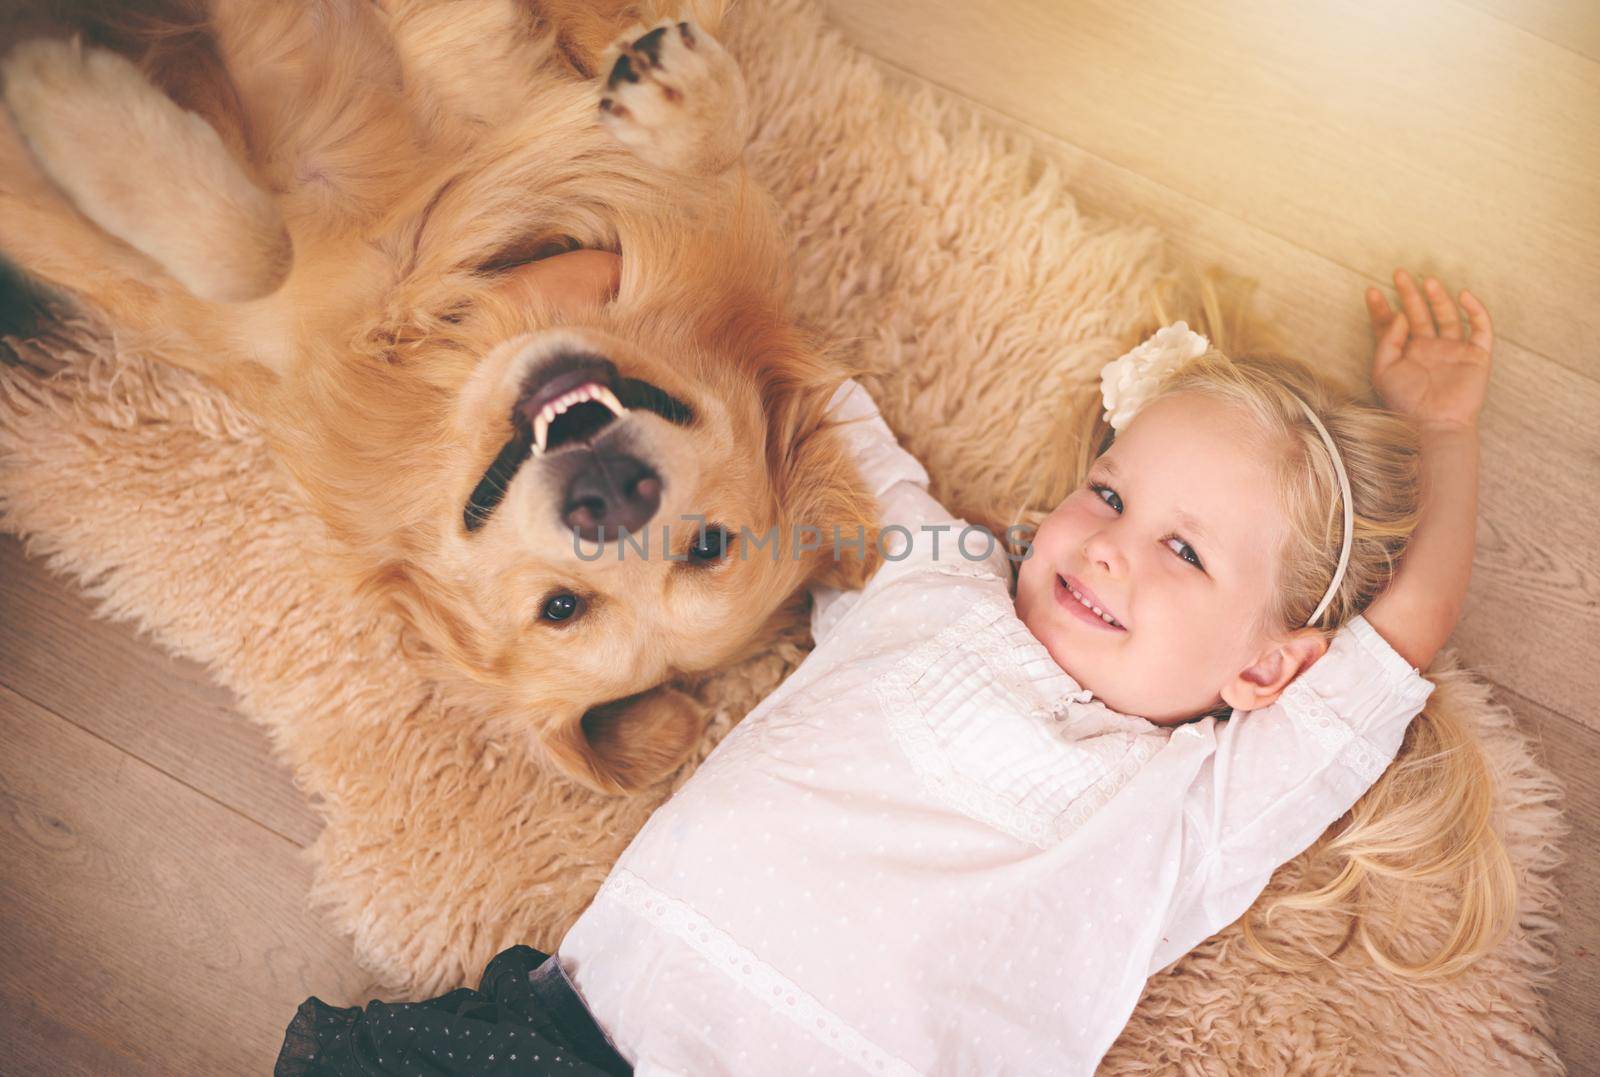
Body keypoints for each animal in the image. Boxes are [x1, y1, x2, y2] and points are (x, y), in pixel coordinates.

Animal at [0, 0, 876, 790]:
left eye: (705, 544)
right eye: (563, 608)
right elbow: (251, 252)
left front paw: (61, 96)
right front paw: (684, 100)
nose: (612, 499)